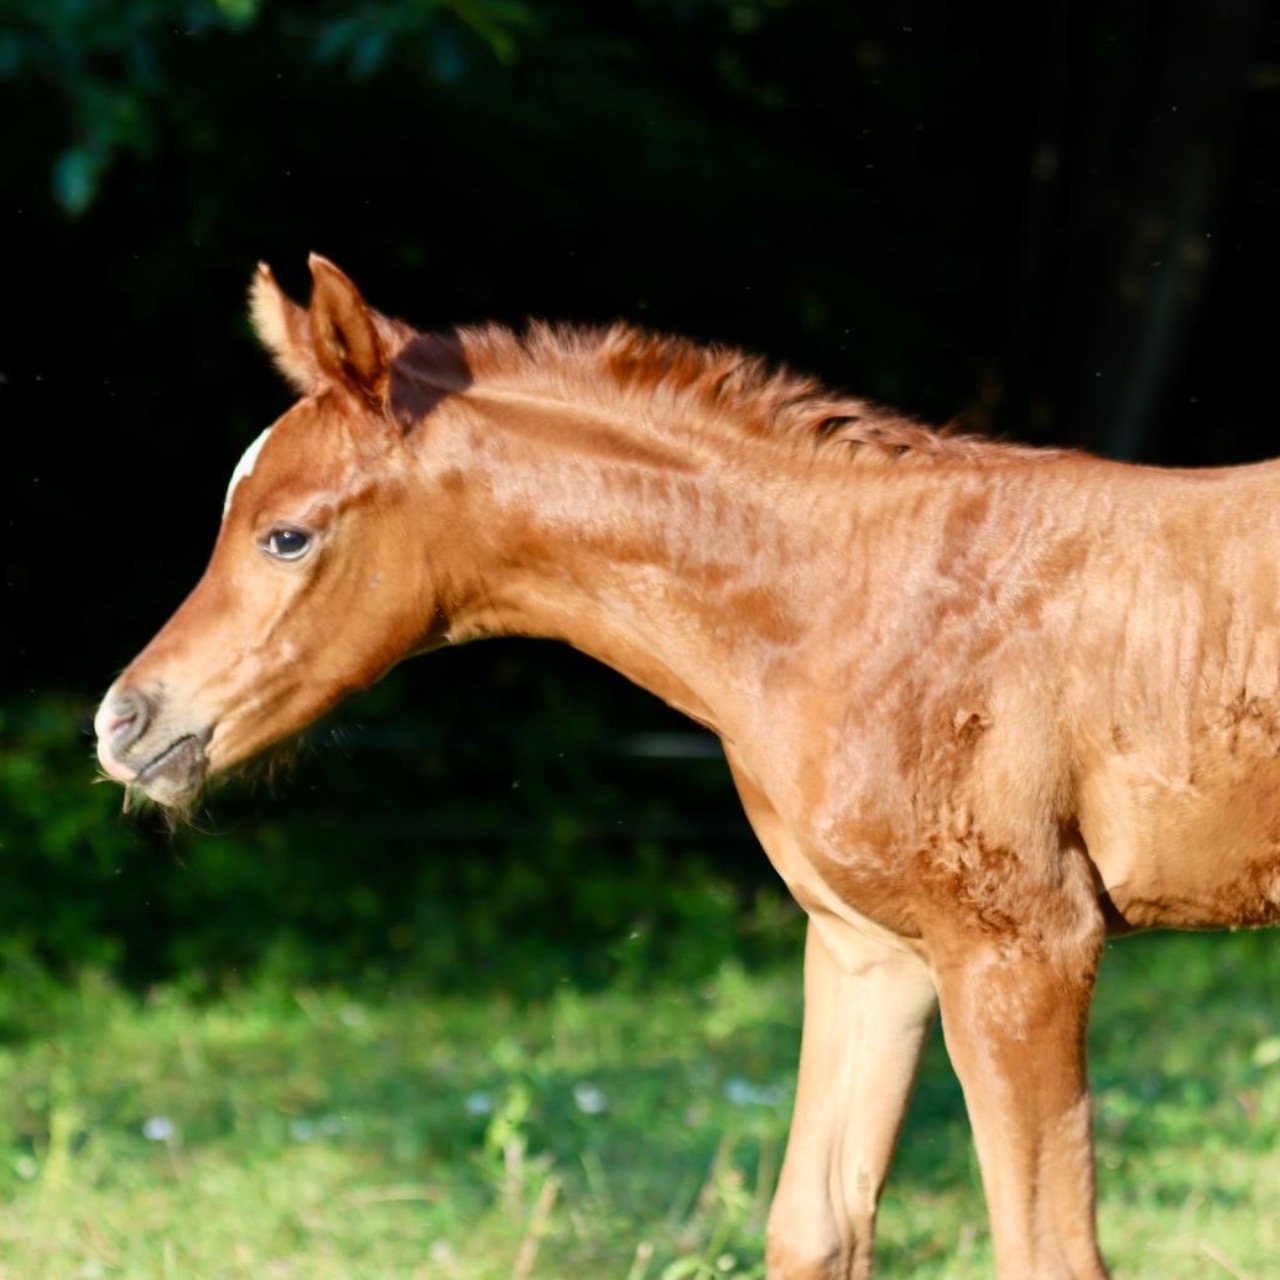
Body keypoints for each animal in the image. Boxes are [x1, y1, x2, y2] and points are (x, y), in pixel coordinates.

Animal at [97, 254, 1280, 1274]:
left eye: (286, 536)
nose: (123, 722)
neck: (849, 602)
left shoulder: (1024, 949)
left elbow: (1044, 1255)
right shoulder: (869, 947)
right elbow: (815, 1230)